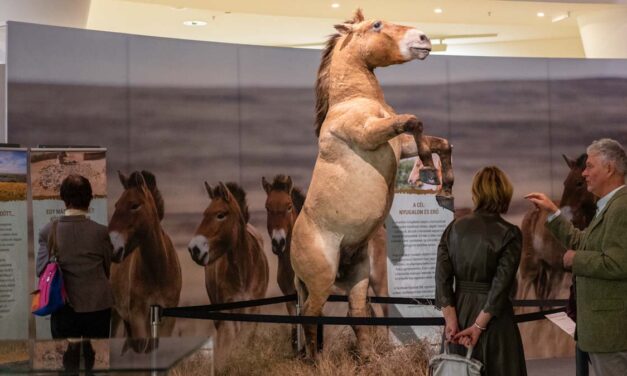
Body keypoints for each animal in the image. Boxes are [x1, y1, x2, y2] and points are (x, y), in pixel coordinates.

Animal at [108, 172, 180, 340]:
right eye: (116, 205)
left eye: (134, 205)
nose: (112, 247)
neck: (158, 272)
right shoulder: (138, 317)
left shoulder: (167, 320)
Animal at [186, 181, 270, 350]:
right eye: (204, 214)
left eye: (220, 214)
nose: (194, 249)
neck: (244, 271)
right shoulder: (228, 310)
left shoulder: (253, 309)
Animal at [290, 8, 452, 356]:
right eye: (377, 25)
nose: (423, 38)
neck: (355, 101)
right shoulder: (369, 134)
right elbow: (414, 121)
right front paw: (428, 167)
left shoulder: (397, 144)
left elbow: (441, 142)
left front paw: (445, 186)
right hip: (321, 281)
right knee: (310, 315)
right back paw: (315, 361)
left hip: (357, 275)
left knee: (357, 313)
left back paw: (367, 359)